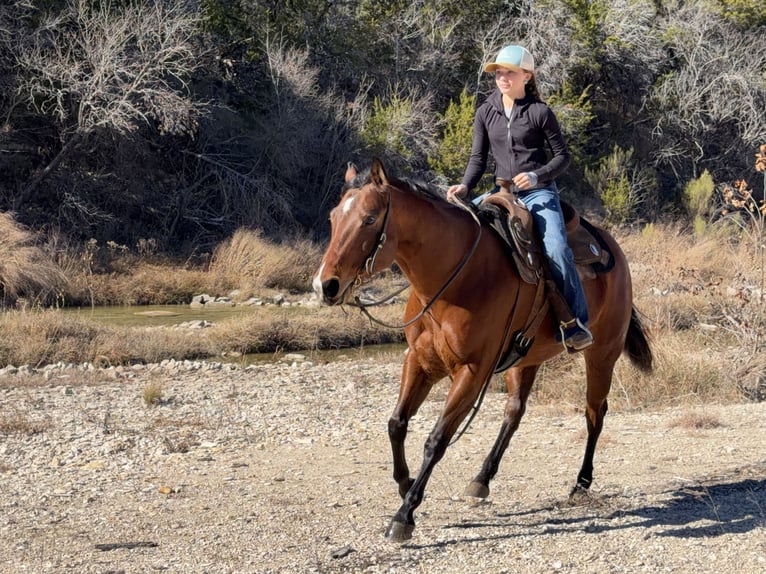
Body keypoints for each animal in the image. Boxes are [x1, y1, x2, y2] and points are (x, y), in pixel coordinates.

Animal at [313, 158, 653, 542]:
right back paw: (482, 478)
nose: (325, 286)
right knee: (514, 412)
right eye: (333, 217)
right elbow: (396, 424)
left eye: (370, 218)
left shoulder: (472, 372)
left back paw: (580, 484)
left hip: (602, 354)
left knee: (594, 414)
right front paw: (405, 483)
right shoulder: (420, 361)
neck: (454, 278)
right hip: (526, 359)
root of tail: (611, 246)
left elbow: (437, 440)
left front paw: (404, 515)